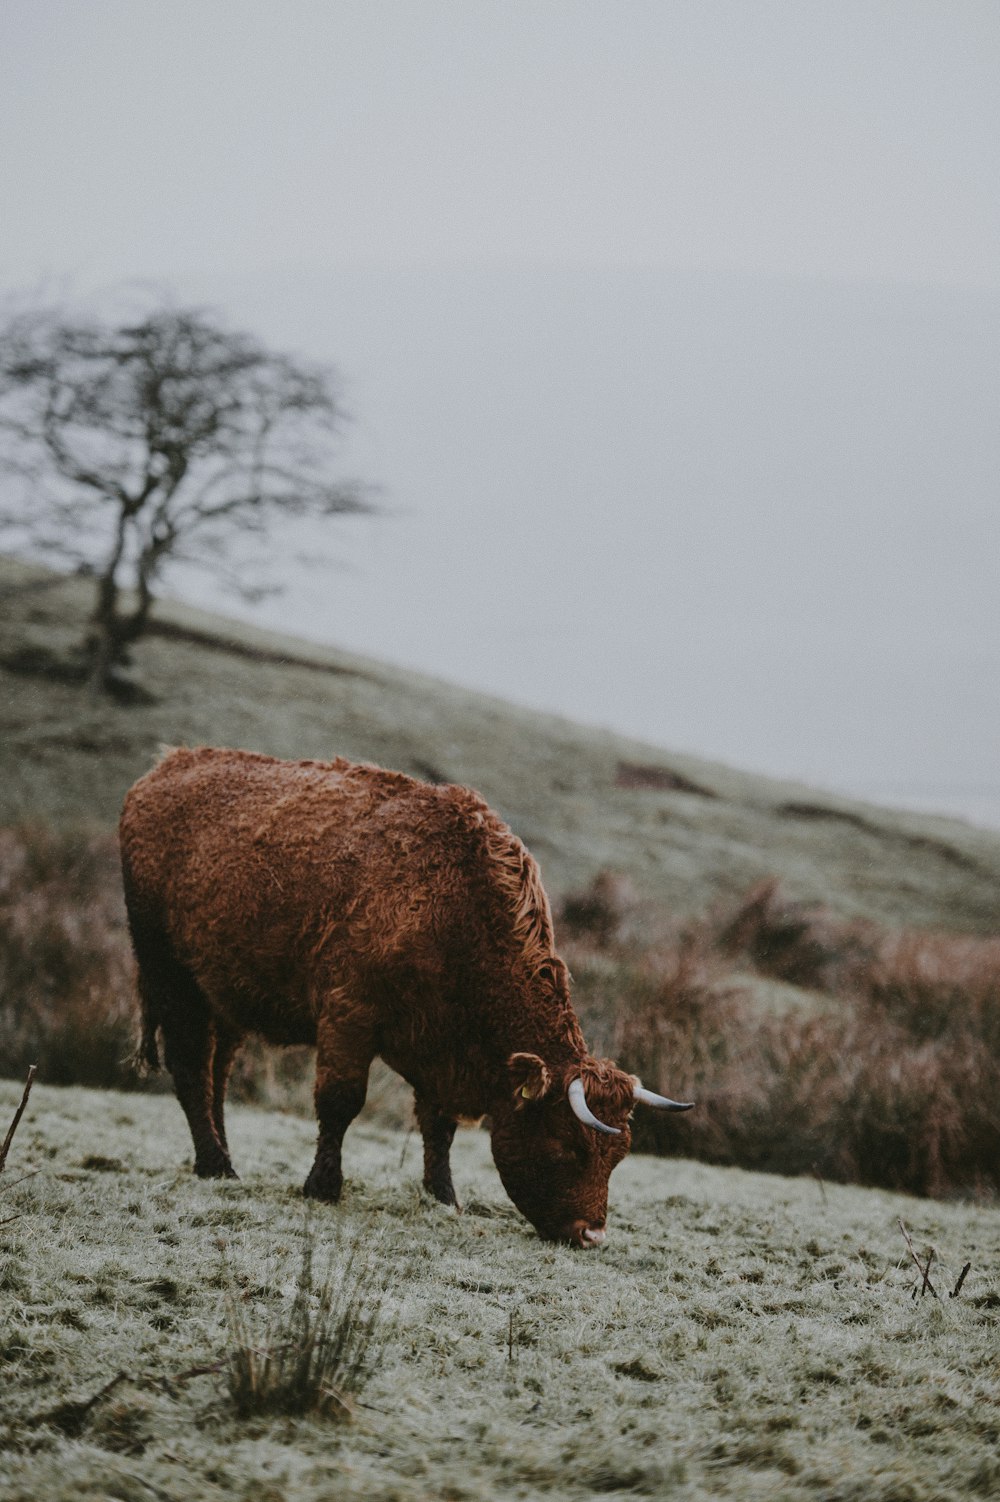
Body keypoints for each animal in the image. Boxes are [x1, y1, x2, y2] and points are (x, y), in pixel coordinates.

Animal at [118, 744, 693, 1249]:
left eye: (618, 1156)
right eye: (568, 1147)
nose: (592, 1235)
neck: (453, 905)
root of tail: (167, 767)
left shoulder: (439, 1045)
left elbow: (439, 1126)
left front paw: (443, 1196)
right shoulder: (348, 1014)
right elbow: (341, 1101)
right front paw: (322, 1187)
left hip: (225, 995)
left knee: (216, 1073)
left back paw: (221, 1157)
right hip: (171, 976)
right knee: (190, 1066)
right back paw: (215, 1164)